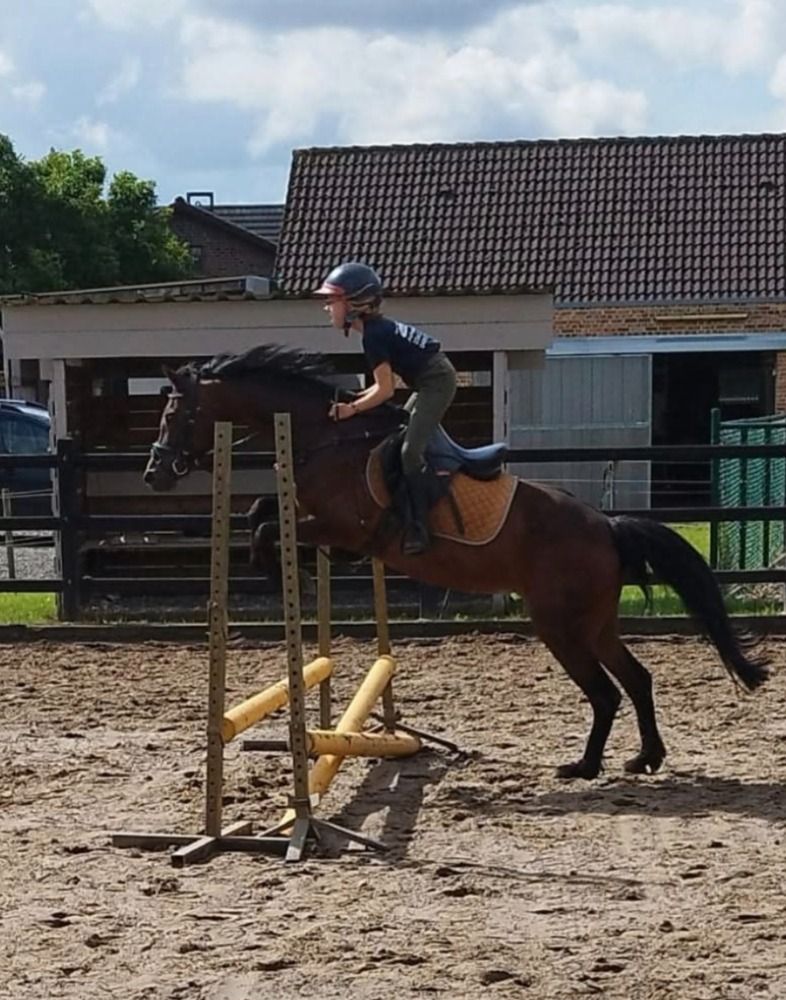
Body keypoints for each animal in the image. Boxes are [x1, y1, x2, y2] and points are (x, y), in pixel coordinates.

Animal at [144, 344, 769, 780]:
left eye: (176, 413)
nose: (154, 474)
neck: (326, 437)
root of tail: (608, 526)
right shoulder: (316, 516)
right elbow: (260, 510)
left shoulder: (345, 528)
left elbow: (268, 526)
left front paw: (276, 575)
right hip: (596, 623)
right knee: (637, 679)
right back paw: (644, 759)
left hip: (559, 624)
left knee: (605, 691)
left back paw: (585, 767)